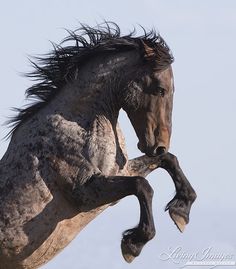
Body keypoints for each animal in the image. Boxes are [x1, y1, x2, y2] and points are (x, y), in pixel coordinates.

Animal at [0, 23, 195, 268]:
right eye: (160, 89)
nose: (159, 145)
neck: (79, 124)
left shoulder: (120, 172)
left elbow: (168, 161)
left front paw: (181, 211)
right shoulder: (84, 193)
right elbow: (142, 186)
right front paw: (134, 243)